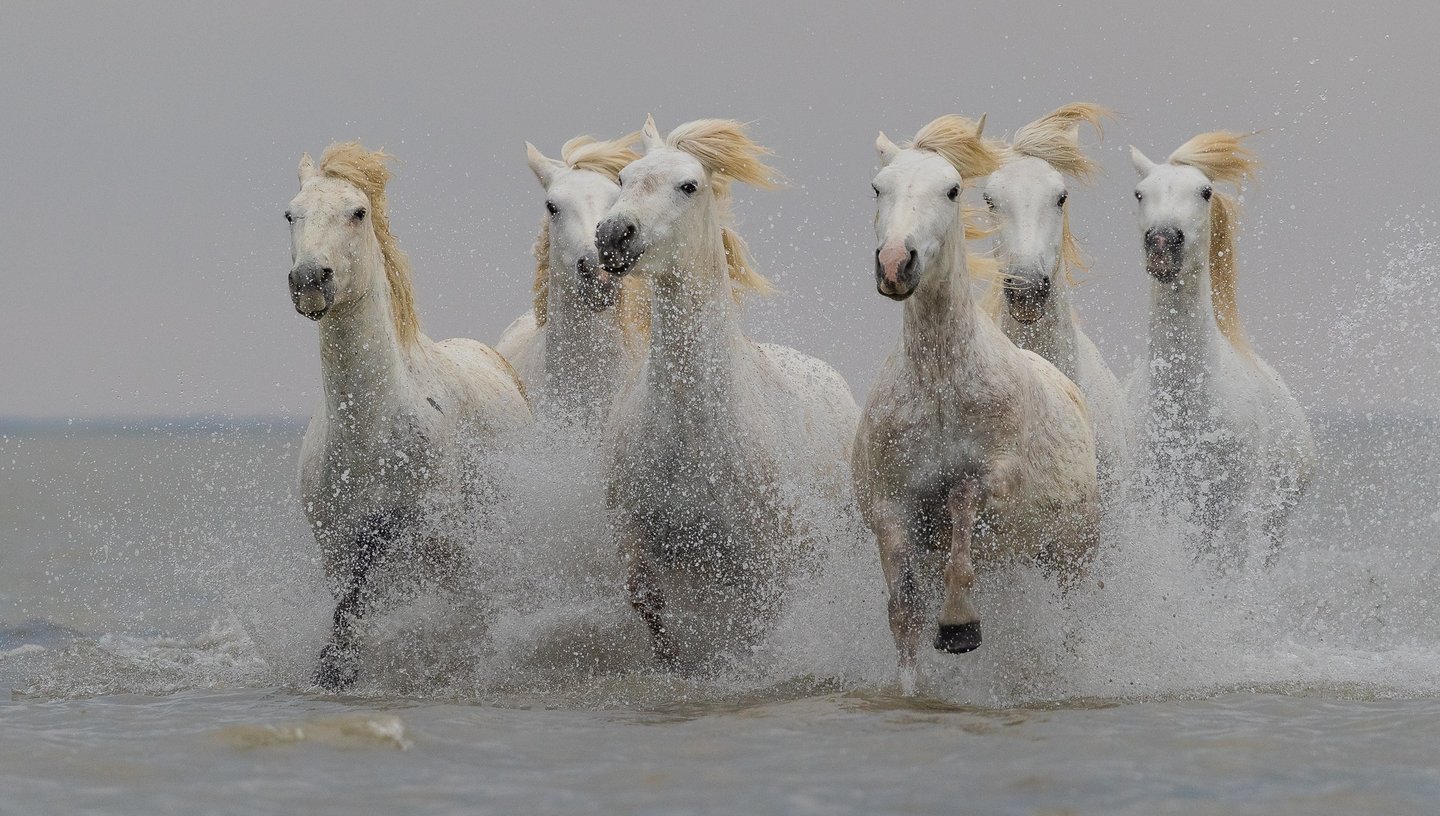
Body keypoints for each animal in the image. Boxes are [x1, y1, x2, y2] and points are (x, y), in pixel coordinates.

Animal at [285, 142, 532, 689]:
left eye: (357, 212)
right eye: (290, 214)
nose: (309, 280)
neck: (369, 433)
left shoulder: (427, 534)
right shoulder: (335, 551)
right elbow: (350, 612)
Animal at [594, 116, 861, 669]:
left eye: (688, 186)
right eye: (624, 178)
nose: (613, 235)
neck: (695, 426)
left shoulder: (764, 562)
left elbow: (756, 629)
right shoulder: (634, 535)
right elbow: (648, 604)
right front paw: (677, 667)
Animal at [852, 114, 1100, 690]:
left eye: (951, 189)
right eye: (878, 188)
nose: (895, 263)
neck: (941, 386)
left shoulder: (998, 479)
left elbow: (962, 502)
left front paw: (959, 625)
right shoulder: (890, 510)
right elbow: (904, 611)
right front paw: (912, 686)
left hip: (1071, 554)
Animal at [1127, 131, 1316, 564]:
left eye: (1205, 191)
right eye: (1140, 193)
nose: (1162, 243)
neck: (1186, 406)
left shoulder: (1231, 518)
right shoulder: (1153, 506)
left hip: (1271, 526)